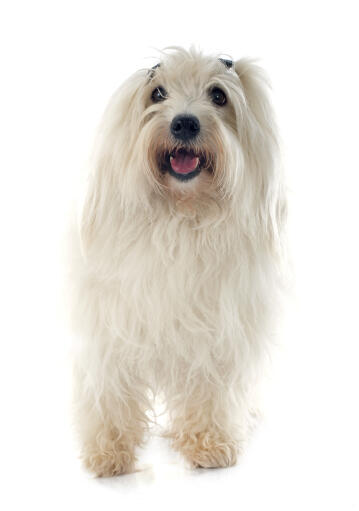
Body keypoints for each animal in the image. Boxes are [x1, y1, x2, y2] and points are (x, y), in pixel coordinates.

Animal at [71, 47, 288, 476]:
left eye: (219, 95)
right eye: (157, 92)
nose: (184, 122)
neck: (182, 215)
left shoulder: (219, 330)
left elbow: (212, 386)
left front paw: (209, 443)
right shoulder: (112, 327)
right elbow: (110, 386)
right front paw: (109, 450)